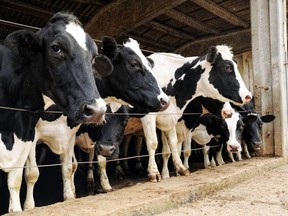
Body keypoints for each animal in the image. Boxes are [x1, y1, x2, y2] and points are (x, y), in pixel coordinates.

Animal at [0, 12, 111, 213]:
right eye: (56, 48)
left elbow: (66, 168)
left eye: (93, 57)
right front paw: (29, 207)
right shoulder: (32, 135)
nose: (97, 110)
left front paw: (69, 196)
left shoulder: (35, 134)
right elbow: (31, 174)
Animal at [140, 46, 252, 182]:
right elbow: (158, 145)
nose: (248, 96)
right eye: (227, 67)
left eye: (241, 127)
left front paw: (182, 169)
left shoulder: (175, 120)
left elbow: (178, 146)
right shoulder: (153, 117)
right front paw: (159, 174)